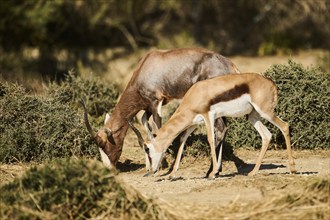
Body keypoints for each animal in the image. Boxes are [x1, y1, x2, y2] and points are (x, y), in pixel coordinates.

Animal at [81, 47, 238, 170]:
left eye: (103, 144)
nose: (109, 168)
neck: (146, 65)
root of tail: (229, 64)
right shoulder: (148, 108)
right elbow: (145, 124)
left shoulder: (156, 102)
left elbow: (157, 127)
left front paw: (161, 164)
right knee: (223, 128)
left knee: (221, 128)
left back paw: (214, 170)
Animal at [129, 72, 296, 179]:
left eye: (147, 149)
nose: (150, 171)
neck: (194, 95)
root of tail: (270, 81)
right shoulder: (193, 124)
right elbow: (182, 140)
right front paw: (171, 175)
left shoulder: (208, 116)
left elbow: (211, 139)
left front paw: (213, 173)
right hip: (253, 116)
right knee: (266, 135)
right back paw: (253, 172)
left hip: (265, 112)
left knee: (285, 126)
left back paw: (292, 169)